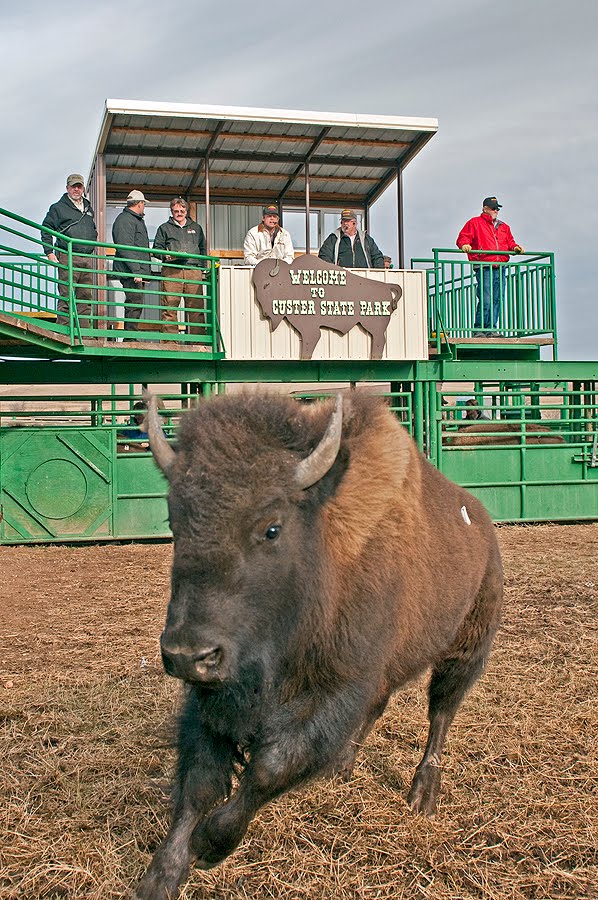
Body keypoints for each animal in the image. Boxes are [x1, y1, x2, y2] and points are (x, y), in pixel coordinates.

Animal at [134, 391, 503, 900]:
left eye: (272, 527)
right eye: (174, 520)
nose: (187, 655)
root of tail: (482, 523)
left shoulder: (337, 687)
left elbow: (270, 767)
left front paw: (211, 844)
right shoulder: (216, 696)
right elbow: (201, 782)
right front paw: (161, 876)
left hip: (465, 648)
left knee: (441, 713)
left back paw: (422, 793)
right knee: (381, 707)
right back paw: (342, 768)